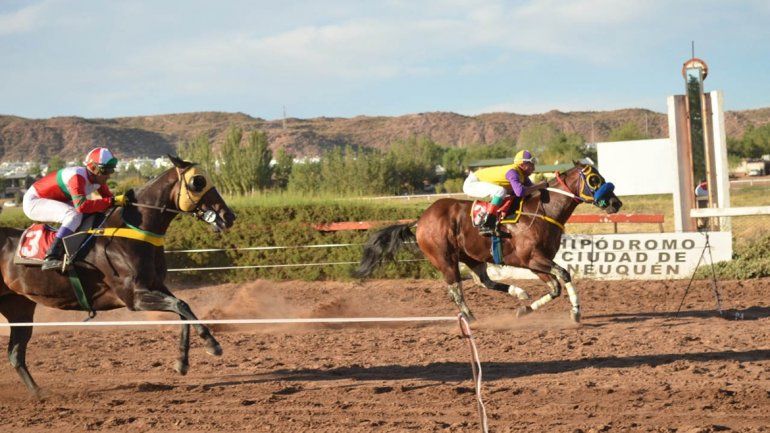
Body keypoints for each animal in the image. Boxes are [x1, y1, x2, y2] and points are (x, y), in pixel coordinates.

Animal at [0, 155, 236, 397]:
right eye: (198, 182)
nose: (229, 216)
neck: (134, 230)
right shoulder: (134, 297)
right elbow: (180, 305)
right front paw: (212, 345)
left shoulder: (155, 285)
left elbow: (183, 306)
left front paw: (184, 361)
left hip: (19, 308)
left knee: (15, 354)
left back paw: (38, 393)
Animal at [354, 162, 622, 322]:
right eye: (595, 180)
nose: (616, 203)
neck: (543, 211)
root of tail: (421, 220)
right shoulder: (533, 259)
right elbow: (564, 275)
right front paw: (576, 312)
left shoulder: (537, 262)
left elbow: (555, 287)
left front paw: (525, 309)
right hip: (444, 259)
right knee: (455, 289)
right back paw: (470, 317)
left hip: (473, 257)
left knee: (484, 281)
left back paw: (519, 293)